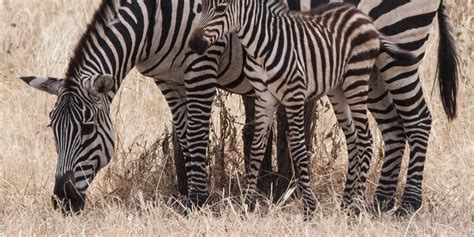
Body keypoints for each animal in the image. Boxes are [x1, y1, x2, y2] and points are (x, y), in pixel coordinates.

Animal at [18, 0, 456, 216]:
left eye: (88, 130)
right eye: (53, 130)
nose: (62, 202)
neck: (157, 21)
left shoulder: (200, 65)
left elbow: (196, 133)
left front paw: (198, 202)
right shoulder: (169, 78)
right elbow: (182, 136)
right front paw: (184, 196)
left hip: (399, 44)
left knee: (419, 120)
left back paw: (407, 206)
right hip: (370, 66)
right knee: (394, 129)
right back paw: (378, 204)